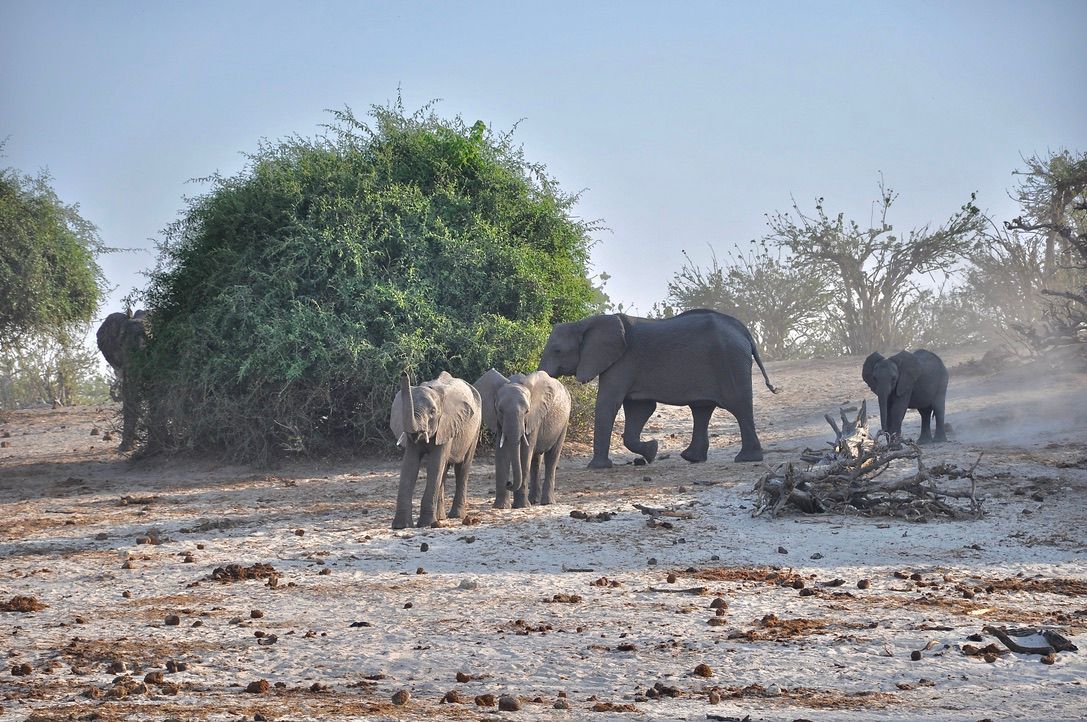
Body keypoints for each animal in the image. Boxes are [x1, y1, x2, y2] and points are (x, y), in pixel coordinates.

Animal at [390, 371, 482, 529]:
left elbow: (434, 465)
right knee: (444, 471)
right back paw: (440, 518)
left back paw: (455, 516)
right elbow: (410, 465)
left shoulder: (446, 424)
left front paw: (425, 524)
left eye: (433, 412)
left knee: (462, 467)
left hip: (475, 428)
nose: (404, 373)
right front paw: (401, 526)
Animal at [474, 369, 571, 509]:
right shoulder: (499, 421)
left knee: (552, 457)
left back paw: (546, 502)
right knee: (536, 459)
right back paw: (533, 500)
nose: (509, 483)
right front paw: (501, 507)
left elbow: (524, 452)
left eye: (527, 411)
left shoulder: (534, 417)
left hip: (564, 421)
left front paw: (521, 506)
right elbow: (501, 452)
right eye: (500, 410)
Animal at [538, 309, 778, 468]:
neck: (585, 322)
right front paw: (652, 451)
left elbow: (608, 404)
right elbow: (640, 408)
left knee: (738, 406)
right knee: (702, 409)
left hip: (729, 361)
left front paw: (598, 467)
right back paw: (692, 458)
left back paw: (746, 459)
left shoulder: (622, 361)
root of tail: (744, 332)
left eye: (557, 350)